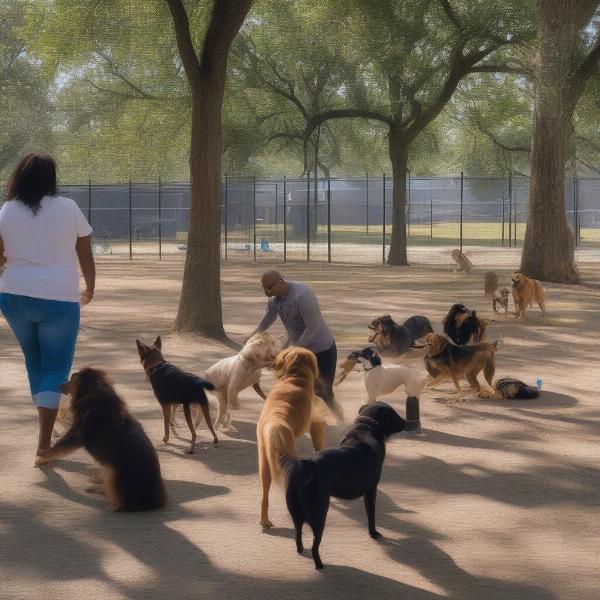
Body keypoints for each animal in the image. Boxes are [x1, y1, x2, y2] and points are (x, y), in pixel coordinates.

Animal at [35, 368, 168, 512]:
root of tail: (154, 502)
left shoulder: (74, 435)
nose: (59, 385)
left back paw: (97, 488)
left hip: (113, 474)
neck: (95, 397)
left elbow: (57, 449)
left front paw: (41, 456)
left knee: (116, 502)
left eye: (72, 379)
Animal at [255, 344, 336, 528]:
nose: (272, 360)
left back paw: (264, 520)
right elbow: (319, 445)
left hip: (264, 464)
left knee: (264, 496)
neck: (294, 377)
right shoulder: (316, 426)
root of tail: (274, 424)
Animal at [282, 400, 408, 568]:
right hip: (319, 513)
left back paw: (301, 550)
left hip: (296, 513)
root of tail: (308, 465)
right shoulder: (371, 489)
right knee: (315, 545)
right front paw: (373, 533)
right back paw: (319, 565)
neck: (366, 427)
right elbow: (371, 514)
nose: (407, 422)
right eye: (393, 413)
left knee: (298, 533)